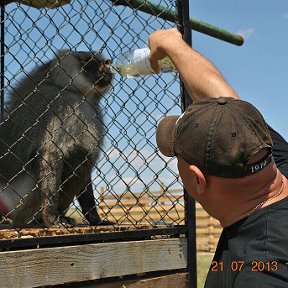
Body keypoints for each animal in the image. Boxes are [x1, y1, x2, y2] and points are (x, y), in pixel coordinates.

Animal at [0, 50, 115, 227]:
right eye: (87, 59)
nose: (107, 64)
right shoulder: (59, 107)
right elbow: (52, 154)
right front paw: (52, 219)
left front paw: (95, 219)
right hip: (17, 201)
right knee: (77, 154)